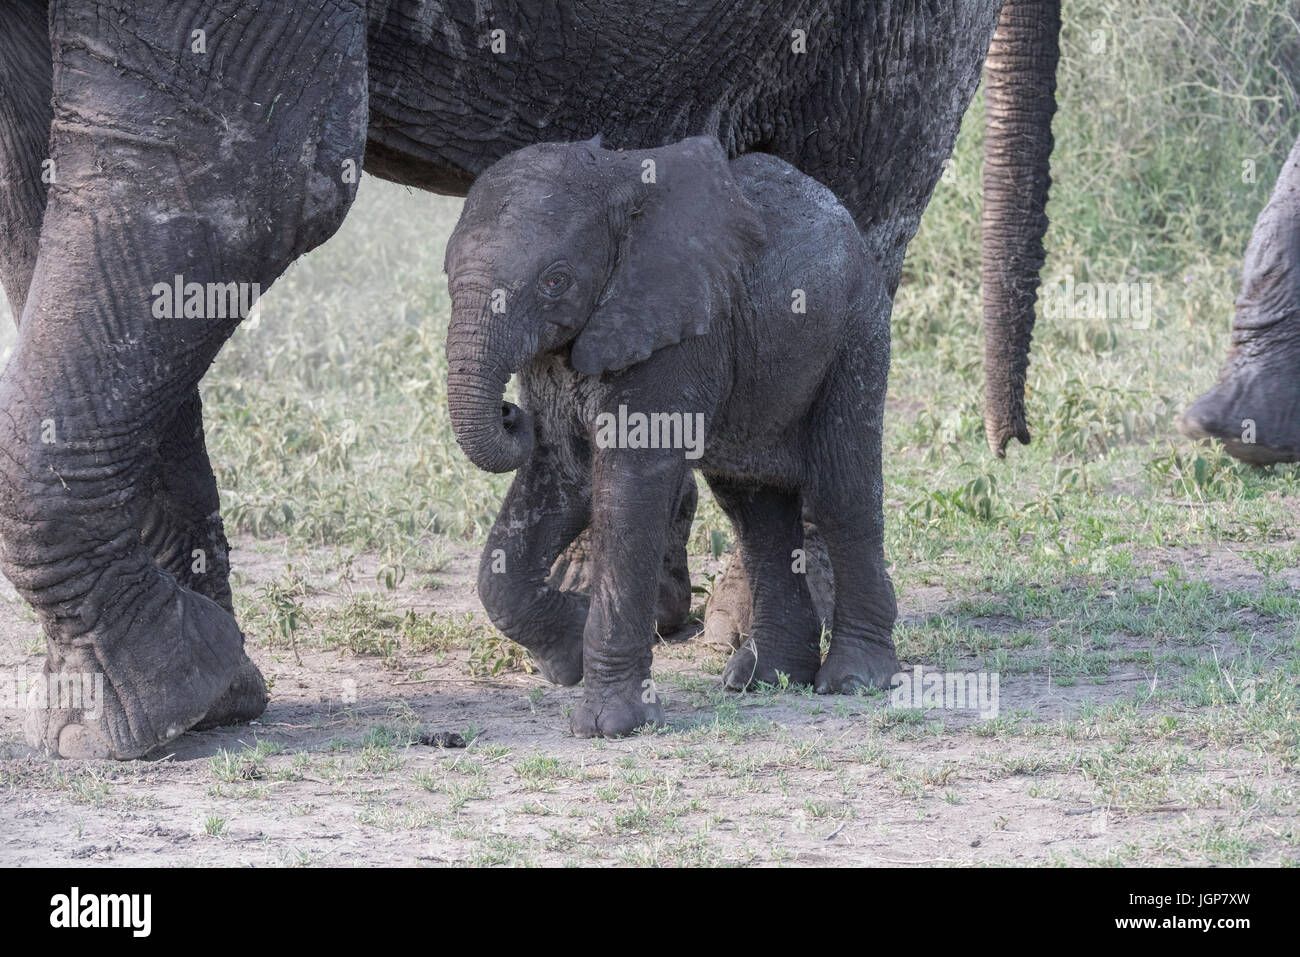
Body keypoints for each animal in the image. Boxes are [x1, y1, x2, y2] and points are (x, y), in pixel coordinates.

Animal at [441, 134, 899, 738]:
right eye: (446, 277)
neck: (616, 185)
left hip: (856, 330)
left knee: (842, 490)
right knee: (754, 508)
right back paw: (764, 680)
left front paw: (611, 726)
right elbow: (559, 479)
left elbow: (629, 488)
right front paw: (567, 654)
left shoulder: (675, 335)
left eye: (555, 281)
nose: (510, 413)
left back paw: (853, 681)